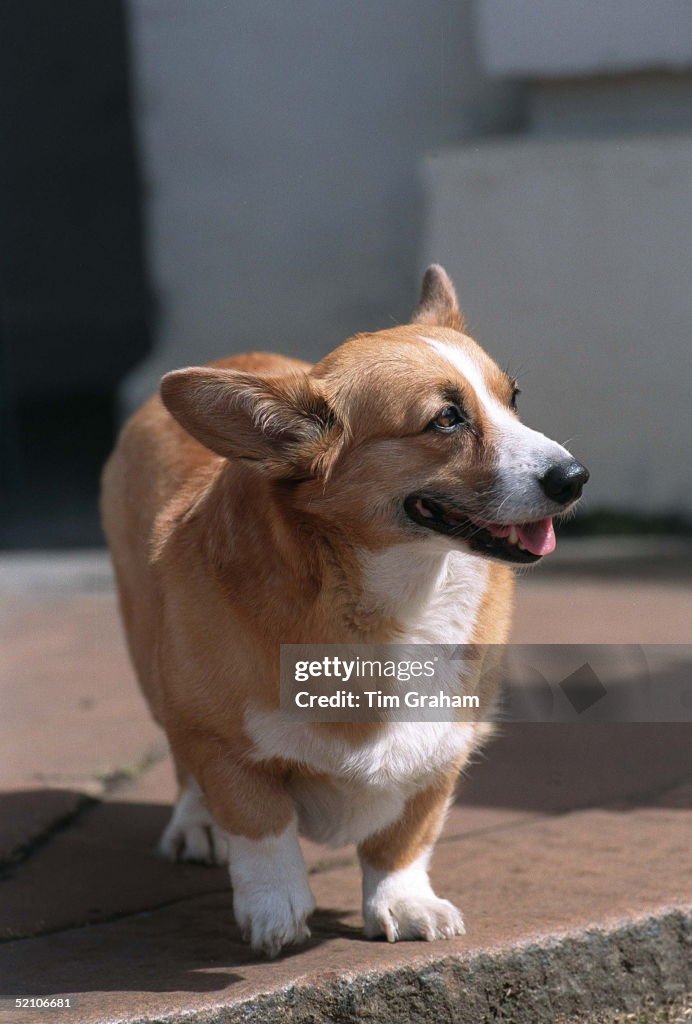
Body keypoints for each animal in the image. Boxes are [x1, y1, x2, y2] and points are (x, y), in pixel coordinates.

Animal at [101, 268, 589, 954]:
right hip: (155, 668)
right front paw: (276, 912)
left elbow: (404, 840)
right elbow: (262, 830)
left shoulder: (445, 749)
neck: (399, 600)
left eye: (513, 399)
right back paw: (196, 825)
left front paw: (404, 904)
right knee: (184, 764)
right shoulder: (221, 739)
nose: (575, 478)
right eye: (446, 419)